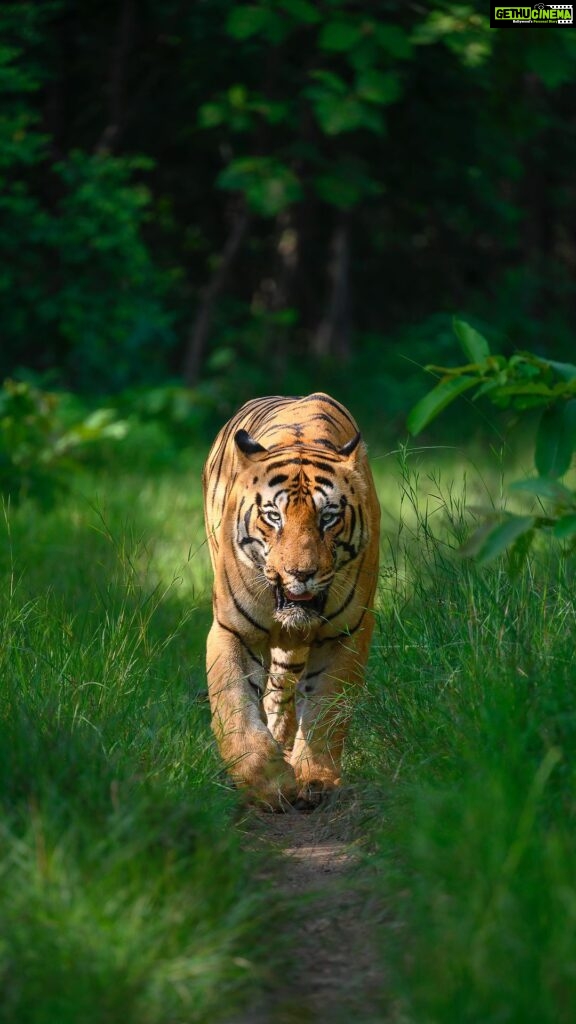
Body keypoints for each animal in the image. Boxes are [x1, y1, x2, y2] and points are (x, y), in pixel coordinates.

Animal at [199, 391, 379, 806]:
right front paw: (267, 783)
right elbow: (234, 706)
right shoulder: (232, 630)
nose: (301, 572)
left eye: (328, 517)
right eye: (273, 517)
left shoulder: (346, 633)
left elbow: (328, 710)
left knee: (282, 690)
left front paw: (314, 778)